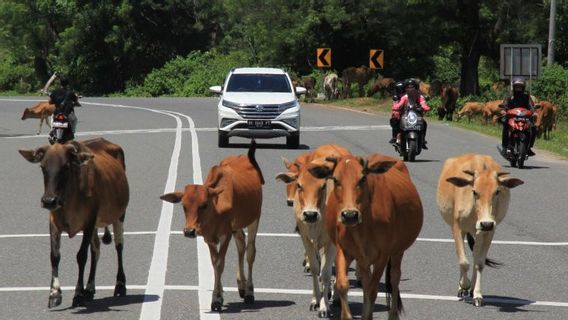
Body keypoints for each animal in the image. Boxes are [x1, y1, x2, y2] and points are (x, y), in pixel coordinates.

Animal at [18, 139, 129, 308]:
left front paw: (77, 294)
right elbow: (55, 256)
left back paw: (120, 285)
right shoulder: (54, 223)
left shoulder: (89, 222)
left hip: (119, 216)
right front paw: (54, 294)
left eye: (65, 167)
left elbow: (81, 256)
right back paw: (89, 288)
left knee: (119, 246)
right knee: (96, 249)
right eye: (43, 167)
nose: (49, 200)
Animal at [161, 141, 266, 312]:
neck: (216, 209)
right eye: (183, 206)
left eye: (204, 205)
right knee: (241, 245)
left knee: (250, 251)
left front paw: (216, 298)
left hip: (254, 219)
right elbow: (214, 263)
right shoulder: (209, 238)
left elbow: (219, 263)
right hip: (237, 226)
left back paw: (249, 292)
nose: (189, 231)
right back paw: (241, 287)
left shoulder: (226, 235)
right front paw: (219, 295)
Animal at [276, 144, 350, 318]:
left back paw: (336, 296)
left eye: (322, 186)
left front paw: (325, 306)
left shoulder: (332, 243)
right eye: (299, 185)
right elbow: (316, 268)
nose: (310, 214)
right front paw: (315, 300)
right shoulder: (306, 238)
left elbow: (326, 272)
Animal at [308, 154, 424, 318]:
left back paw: (392, 314)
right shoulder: (343, 250)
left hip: (397, 251)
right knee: (366, 281)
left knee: (394, 278)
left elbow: (372, 290)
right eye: (335, 179)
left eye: (362, 178)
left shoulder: (383, 256)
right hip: (363, 259)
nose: (349, 215)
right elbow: (343, 285)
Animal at [440, 154, 524, 308]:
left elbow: (479, 263)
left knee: (475, 254)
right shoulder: (457, 228)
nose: (486, 223)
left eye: (497, 191)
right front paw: (463, 285)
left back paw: (472, 288)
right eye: (474, 191)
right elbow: (463, 261)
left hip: (479, 232)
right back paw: (463, 288)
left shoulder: (489, 232)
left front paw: (477, 294)